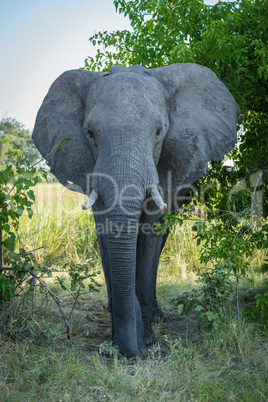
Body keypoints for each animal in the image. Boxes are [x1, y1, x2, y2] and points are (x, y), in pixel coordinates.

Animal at [32, 63, 240, 358]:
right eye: (89, 133)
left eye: (159, 131)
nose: (133, 350)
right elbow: (105, 233)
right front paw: (118, 341)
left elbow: (150, 235)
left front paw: (148, 340)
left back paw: (155, 316)